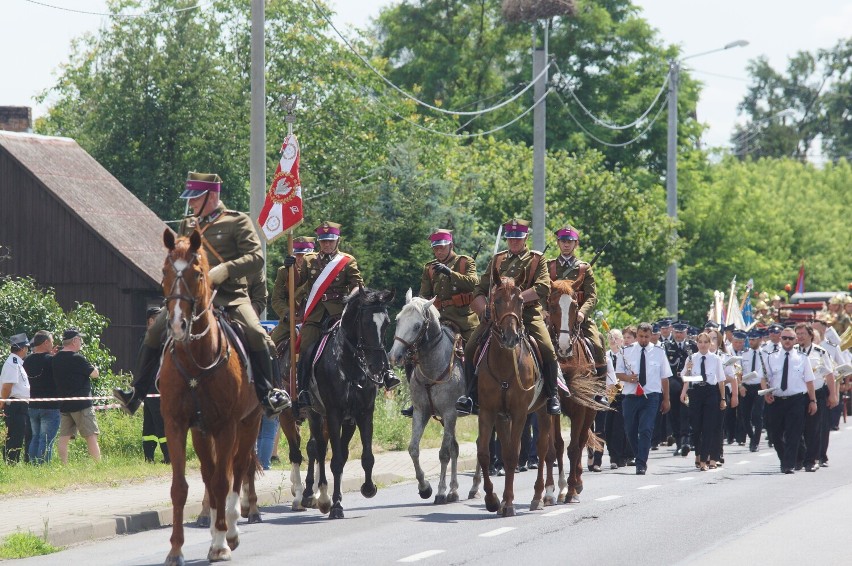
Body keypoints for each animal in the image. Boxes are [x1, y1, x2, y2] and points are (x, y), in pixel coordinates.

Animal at [158, 229, 262, 564]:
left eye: (198, 273)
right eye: (165, 271)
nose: (177, 324)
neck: (195, 360)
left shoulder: (227, 426)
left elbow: (223, 481)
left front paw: (220, 544)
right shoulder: (177, 425)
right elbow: (180, 487)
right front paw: (175, 548)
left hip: (249, 423)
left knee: (237, 470)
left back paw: (230, 529)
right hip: (203, 433)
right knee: (210, 473)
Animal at [302, 286, 394, 520]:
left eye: (387, 322)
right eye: (366, 322)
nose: (379, 366)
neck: (350, 366)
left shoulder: (364, 413)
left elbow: (366, 457)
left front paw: (368, 488)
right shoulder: (334, 414)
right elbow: (334, 461)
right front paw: (335, 505)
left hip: (346, 422)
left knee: (335, 452)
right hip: (315, 415)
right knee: (318, 449)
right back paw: (320, 496)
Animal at [388, 290, 462, 504]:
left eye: (417, 325)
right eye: (397, 320)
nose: (394, 356)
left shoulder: (450, 413)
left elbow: (444, 453)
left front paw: (440, 491)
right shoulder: (421, 412)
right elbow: (413, 449)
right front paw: (424, 487)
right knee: (456, 448)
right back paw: (455, 491)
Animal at [472, 280, 552, 520]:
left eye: (521, 301)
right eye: (496, 300)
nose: (510, 337)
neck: (504, 363)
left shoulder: (519, 414)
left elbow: (510, 456)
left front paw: (507, 503)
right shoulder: (489, 412)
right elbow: (484, 453)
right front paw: (492, 500)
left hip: (544, 410)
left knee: (543, 448)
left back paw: (539, 496)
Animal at [544, 280, 604, 506]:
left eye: (575, 307)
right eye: (552, 306)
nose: (563, 346)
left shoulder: (580, 408)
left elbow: (574, 448)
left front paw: (571, 491)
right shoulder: (551, 409)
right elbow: (555, 448)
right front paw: (552, 491)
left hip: (591, 410)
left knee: (581, 441)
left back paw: (577, 483)